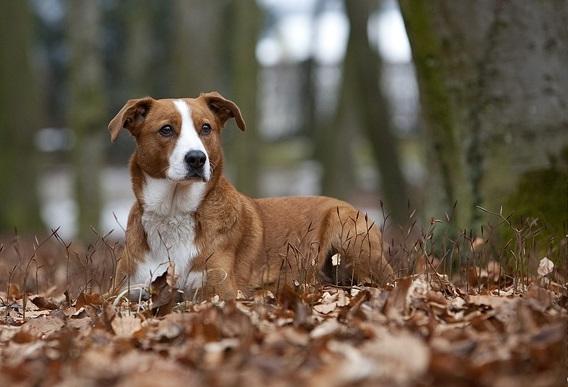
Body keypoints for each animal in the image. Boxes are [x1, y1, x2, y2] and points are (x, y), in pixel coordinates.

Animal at [110, 92, 394, 302]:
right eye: (166, 129)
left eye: (206, 128)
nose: (197, 158)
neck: (173, 212)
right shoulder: (124, 290)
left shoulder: (218, 289)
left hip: (346, 231)